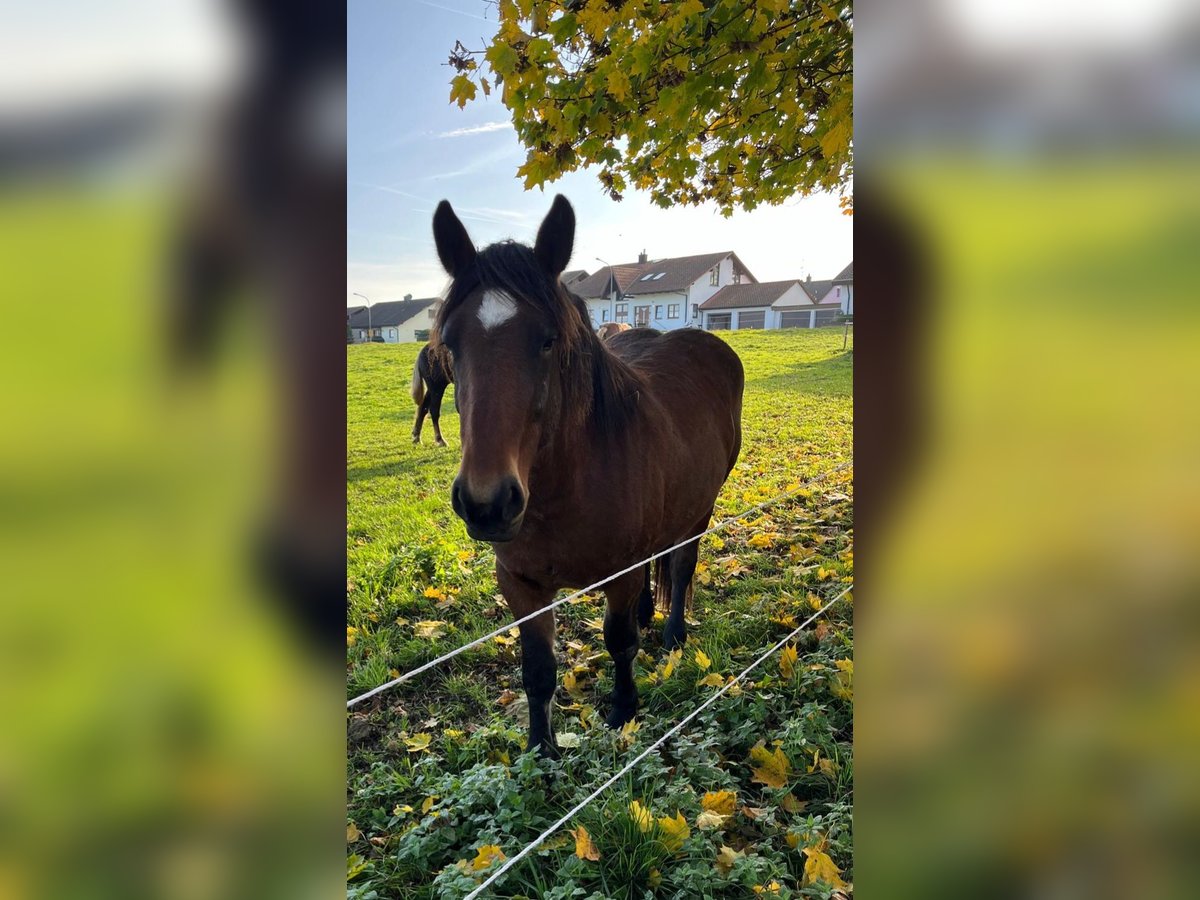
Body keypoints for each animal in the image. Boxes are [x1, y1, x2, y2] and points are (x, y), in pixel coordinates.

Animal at [432, 194, 744, 758]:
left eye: (547, 341)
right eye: (450, 341)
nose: (487, 503)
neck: (562, 491)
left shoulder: (619, 573)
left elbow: (619, 642)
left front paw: (623, 710)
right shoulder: (521, 582)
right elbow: (538, 669)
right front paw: (541, 748)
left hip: (700, 510)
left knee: (681, 564)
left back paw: (673, 634)